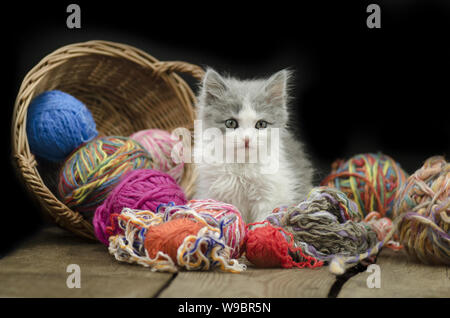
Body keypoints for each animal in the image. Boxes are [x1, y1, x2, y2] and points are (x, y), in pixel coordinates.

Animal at [193, 69, 312, 224]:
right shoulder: (212, 189)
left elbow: (263, 219)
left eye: (261, 124)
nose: (247, 139)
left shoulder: (270, 194)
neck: (242, 165)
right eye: (230, 123)